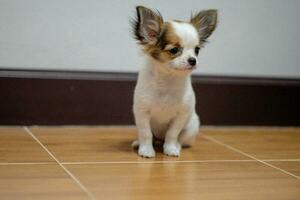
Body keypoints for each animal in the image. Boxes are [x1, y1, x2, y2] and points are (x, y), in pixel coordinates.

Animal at [130, 5, 217, 157]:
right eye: (174, 50)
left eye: (197, 50)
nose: (193, 60)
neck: (168, 79)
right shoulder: (142, 112)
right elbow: (146, 134)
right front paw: (146, 150)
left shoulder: (180, 116)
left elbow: (172, 134)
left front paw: (170, 149)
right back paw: (138, 143)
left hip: (191, 128)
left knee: (180, 140)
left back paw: (176, 146)